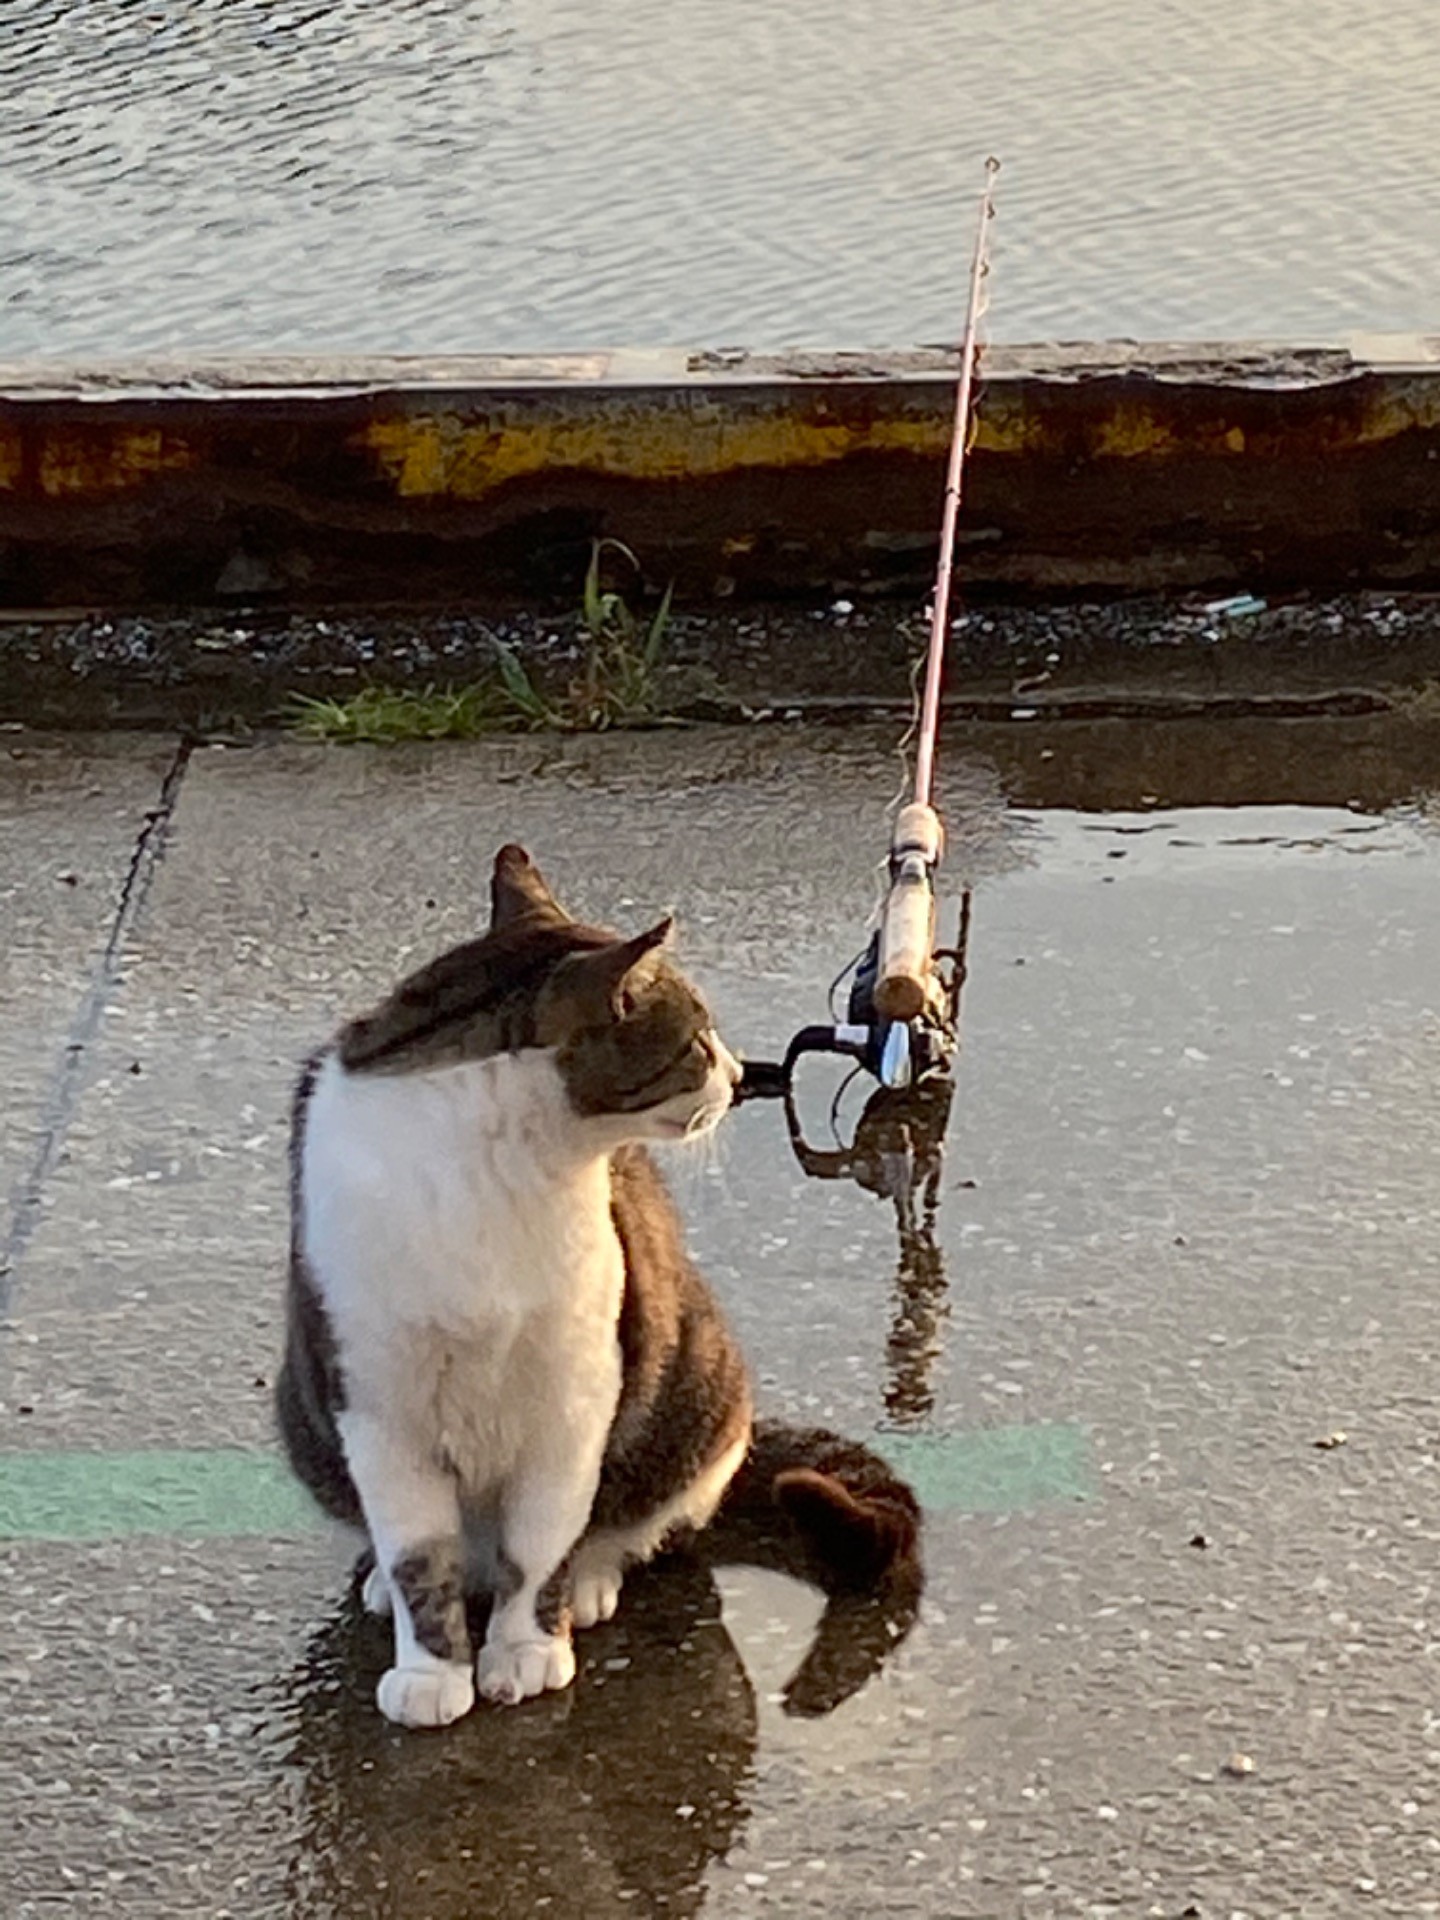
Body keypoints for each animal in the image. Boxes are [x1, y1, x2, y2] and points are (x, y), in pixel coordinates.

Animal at [276, 840, 917, 1728]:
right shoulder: (378, 1412)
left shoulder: (577, 1396)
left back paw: (590, 1581)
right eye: (696, 1040)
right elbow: (418, 1558)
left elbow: (542, 1543)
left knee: (627, 1526)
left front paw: (526, 1647)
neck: (499, 1167)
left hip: (696, 1388)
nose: (736, 1074)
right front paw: (432, 1669)